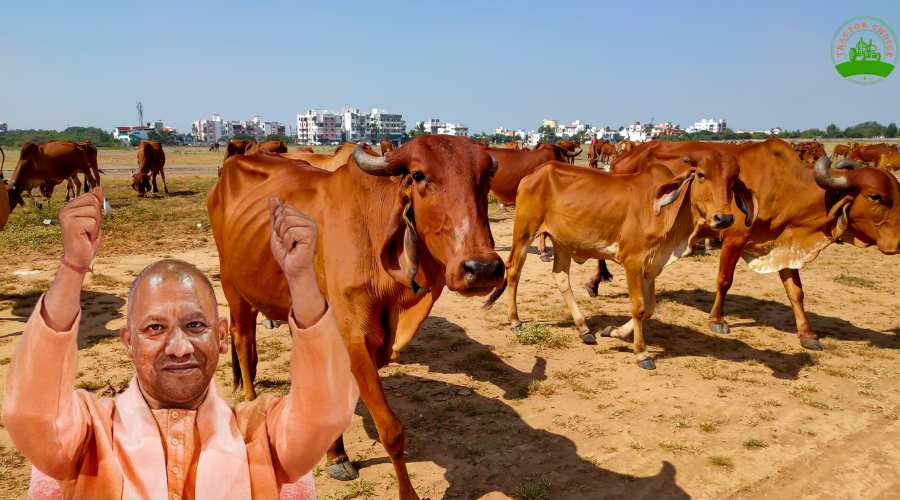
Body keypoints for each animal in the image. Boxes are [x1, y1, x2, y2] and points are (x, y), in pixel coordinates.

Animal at [209, 135, 506, 498]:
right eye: (419, 176)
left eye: (486, 177)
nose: (482, 268)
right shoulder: (353, 340)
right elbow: (391, 430)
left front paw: (335, 455)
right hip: (232, 286)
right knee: (241, 338)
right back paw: (251, 405)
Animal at [486, 156, 752, 368]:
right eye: (701, 175)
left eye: (733, 180)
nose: (724, 218)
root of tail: (533, 174)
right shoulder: (632, 261)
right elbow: (639, 307)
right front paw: (641, 353)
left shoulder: (651, 267)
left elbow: (650, 308)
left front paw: (613, 331)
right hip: (524, 231)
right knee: (514, 270)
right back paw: (515, 320)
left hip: (562, 241)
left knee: (561, 277)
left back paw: (584, 329)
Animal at [596, 139, 900, 350]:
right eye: (875, 196)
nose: (898, 243)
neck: (783, 185)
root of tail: (625, 156)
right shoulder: (734, 239)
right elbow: (724, 281)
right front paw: (717, 320)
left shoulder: (782, 244)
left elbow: (796, 292)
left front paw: (807, 334)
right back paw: (597, 281)